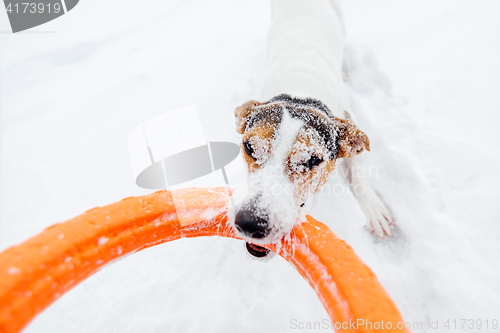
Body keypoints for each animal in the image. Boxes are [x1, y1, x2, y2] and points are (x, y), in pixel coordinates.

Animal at [232, 0, 392, 256]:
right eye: (249, 147)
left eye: (312, 160)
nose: (250, 222)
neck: (300, 94)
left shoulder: (350, 123)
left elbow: (359, 175)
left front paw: (373, 209)